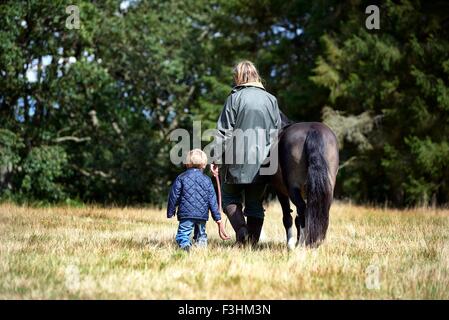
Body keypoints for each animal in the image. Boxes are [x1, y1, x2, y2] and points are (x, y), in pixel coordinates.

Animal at [270, 114, 340, 249]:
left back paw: (301, 244)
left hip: (293, 189)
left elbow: (288, 217)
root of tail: (313, 130)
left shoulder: (280, 190)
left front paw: (291, 243)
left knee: (302, 210)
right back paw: (316, 242)